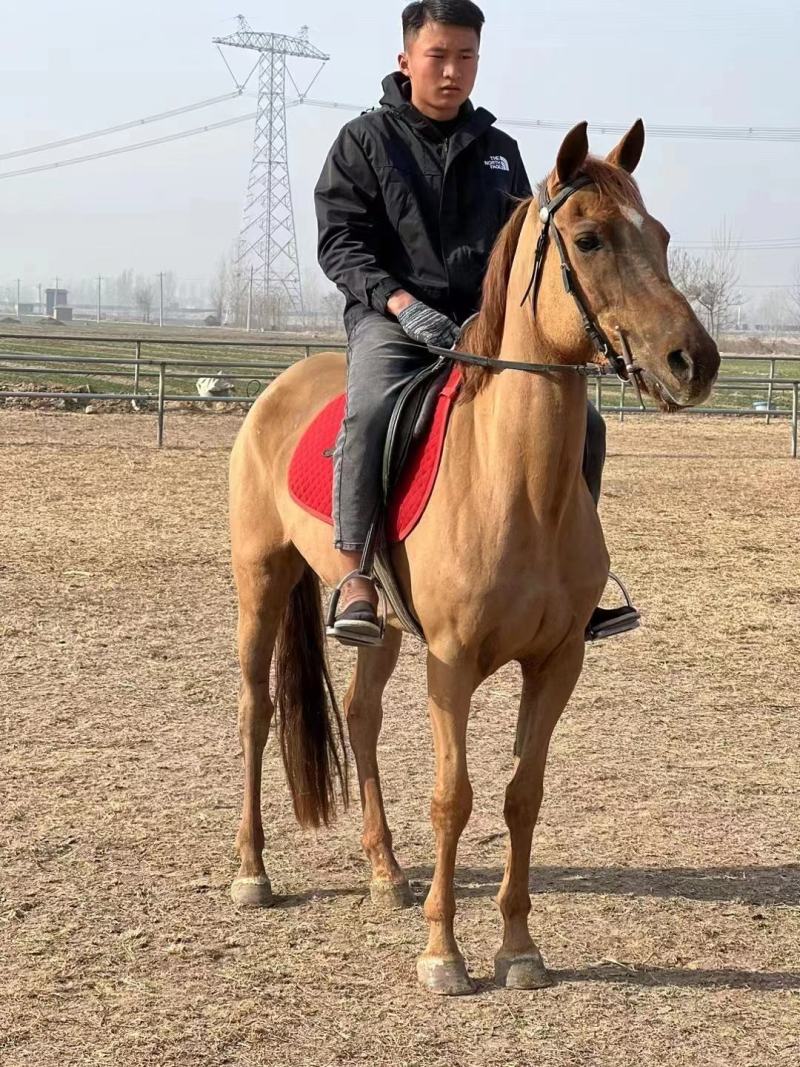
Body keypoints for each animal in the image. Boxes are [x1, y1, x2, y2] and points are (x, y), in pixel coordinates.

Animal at [227, 120, 720, 995]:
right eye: (589, 240)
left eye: (659, 237)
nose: (692, 362)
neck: (513, 483)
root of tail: (280, 386)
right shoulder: (451, 663)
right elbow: (452, 798)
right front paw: (443, 954)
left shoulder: (557, 662)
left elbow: (523, 793)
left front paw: (518, 948)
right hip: (260, 580)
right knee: (258, 709)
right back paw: (253, 872)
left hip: (381, 626)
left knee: (360, 713)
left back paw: (385, 872)